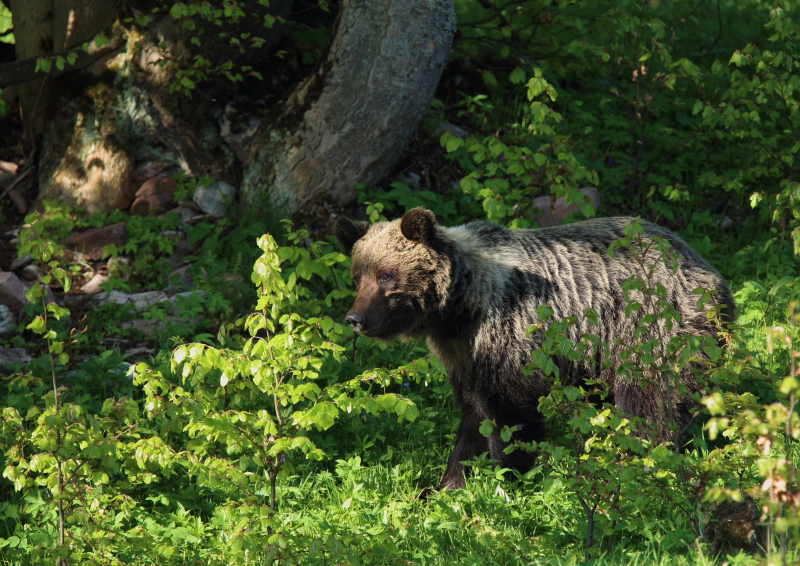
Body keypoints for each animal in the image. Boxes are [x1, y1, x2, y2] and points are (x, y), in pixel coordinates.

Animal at [334, 210, 736, 492]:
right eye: (358, 276)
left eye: (386, 275)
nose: (355, 318)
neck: (460, 309)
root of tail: (712, 274)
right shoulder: (464, 355)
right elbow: (473, 418)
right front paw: (447, 485)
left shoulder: (512, 337)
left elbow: (511, 417)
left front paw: (509, 477)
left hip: (648, 332)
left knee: (648, 406)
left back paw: (637, 464)